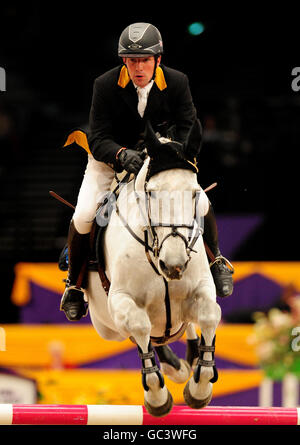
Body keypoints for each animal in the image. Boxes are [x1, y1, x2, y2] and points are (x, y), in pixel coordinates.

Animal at [85, 125, 221, 416]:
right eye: (152, 193)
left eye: (194, 193)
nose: (174, 265)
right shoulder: (121, 300)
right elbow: (139, 325)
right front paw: (157, 397)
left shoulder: (201, 289)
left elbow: (209, 315)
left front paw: (200, 388)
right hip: (107, 327)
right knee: (142, 335)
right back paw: (174, 364)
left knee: (179, 329)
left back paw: (188, 358)